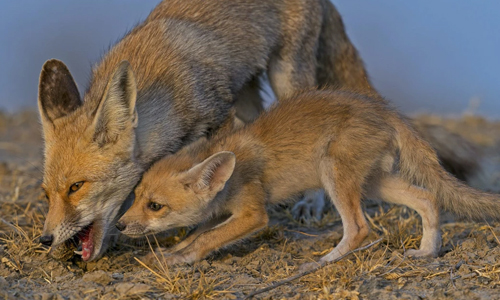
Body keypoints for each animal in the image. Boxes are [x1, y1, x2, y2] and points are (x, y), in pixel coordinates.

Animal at [38, 0, 476, 260]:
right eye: (47, 194)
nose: (45, 239)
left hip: (288, 77)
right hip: (249, 89)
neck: (164, 88)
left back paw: (312, 202)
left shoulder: (217, 119)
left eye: (76, 187)